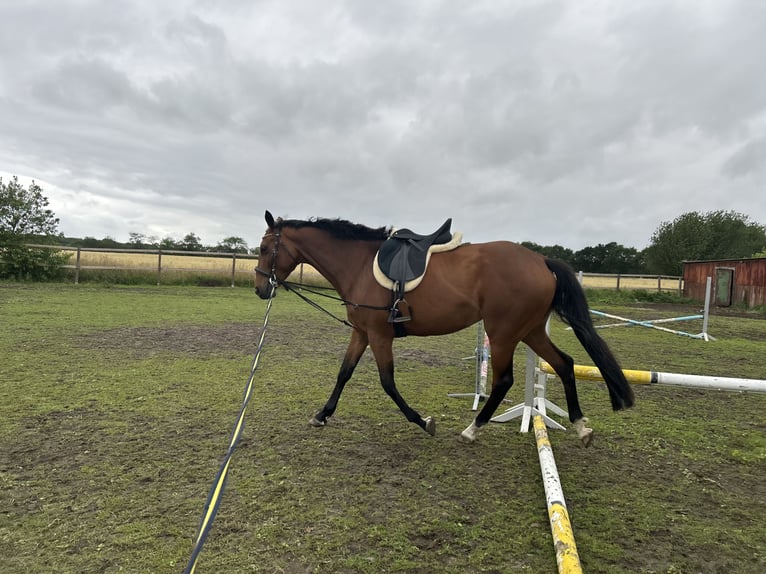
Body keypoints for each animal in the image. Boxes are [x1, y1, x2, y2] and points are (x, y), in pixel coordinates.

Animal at [254, 210, 634, 445]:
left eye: (264, 248)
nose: (260, 289)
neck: (359, 265)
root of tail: (540, 259)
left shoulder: (379, 335)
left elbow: (387, 383)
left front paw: (424, 422)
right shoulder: (361, 332)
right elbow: (344, 373)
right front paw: (322, 415)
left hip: (503, 334)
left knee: (504, 380)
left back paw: (472, 429)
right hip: (530, 331)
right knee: (564, 364)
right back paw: (581, 428)